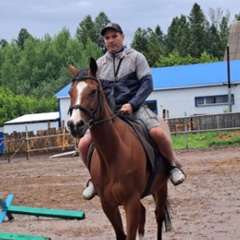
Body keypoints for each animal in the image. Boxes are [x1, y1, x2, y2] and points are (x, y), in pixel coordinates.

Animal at [67, 58, 172, 240]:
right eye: (70, 92)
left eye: (93, 91)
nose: (75, 125)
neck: (112, 154)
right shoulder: (108, 205)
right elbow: (121, 235)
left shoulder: (131, 202)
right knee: (144, 214)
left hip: (161, 188)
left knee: (158, 217)